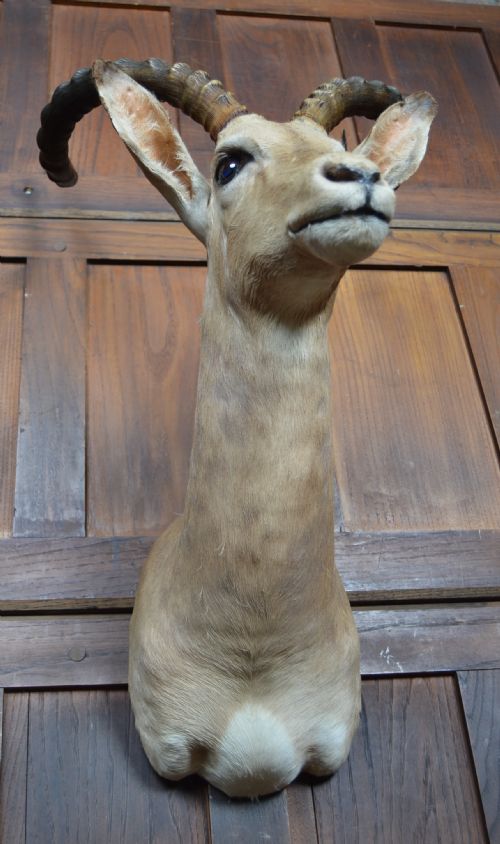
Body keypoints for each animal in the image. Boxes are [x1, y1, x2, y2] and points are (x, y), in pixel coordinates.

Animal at [38, 59, 436, 798]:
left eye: (336, 143)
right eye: (229, 161)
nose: (359, 176)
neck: (255, 645)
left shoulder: (328, 749)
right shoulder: (168, 753)